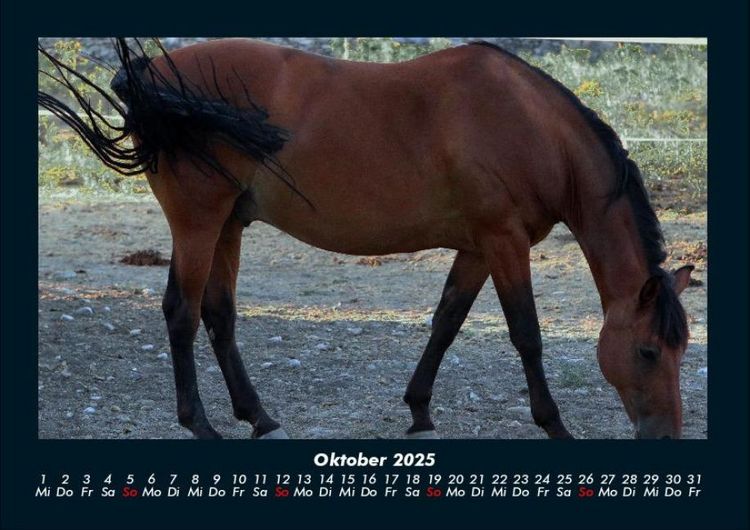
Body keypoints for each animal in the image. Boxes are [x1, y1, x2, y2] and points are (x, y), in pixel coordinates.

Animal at [38, 38, 694, 440]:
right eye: (647, 352)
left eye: (679, 350)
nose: (665, 436)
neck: (529, 125)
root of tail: (151, 74)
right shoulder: (504, 242)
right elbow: (527, 336)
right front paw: (553, 423)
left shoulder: (478, 247)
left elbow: (446, 322)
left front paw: (420, 410)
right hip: (199, 223)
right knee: (183, 312)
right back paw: (201, 423)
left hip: (228, 224)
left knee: (218, 315)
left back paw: (259, 417)